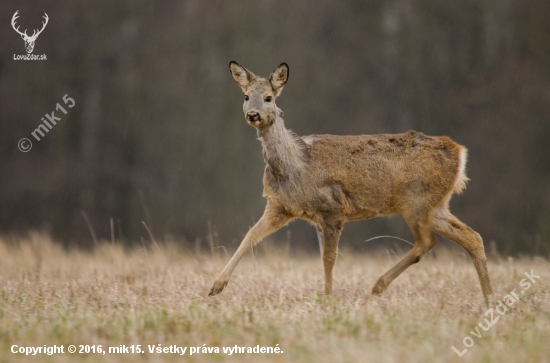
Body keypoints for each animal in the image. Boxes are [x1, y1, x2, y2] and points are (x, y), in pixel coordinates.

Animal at [209, 60, 494, 304]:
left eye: (269, 97)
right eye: (246, 96)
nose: (253, 114)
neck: (295, 164)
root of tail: (460, 152)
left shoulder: (332, 209)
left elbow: (328, 258)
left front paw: (327, 297)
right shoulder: (280, 208)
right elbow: (249, 236)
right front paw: (216, 286)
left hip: (417, 201)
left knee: (428, 241)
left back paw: (378, 285)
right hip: (436, 204)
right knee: (472, 237)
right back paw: (489, 297)